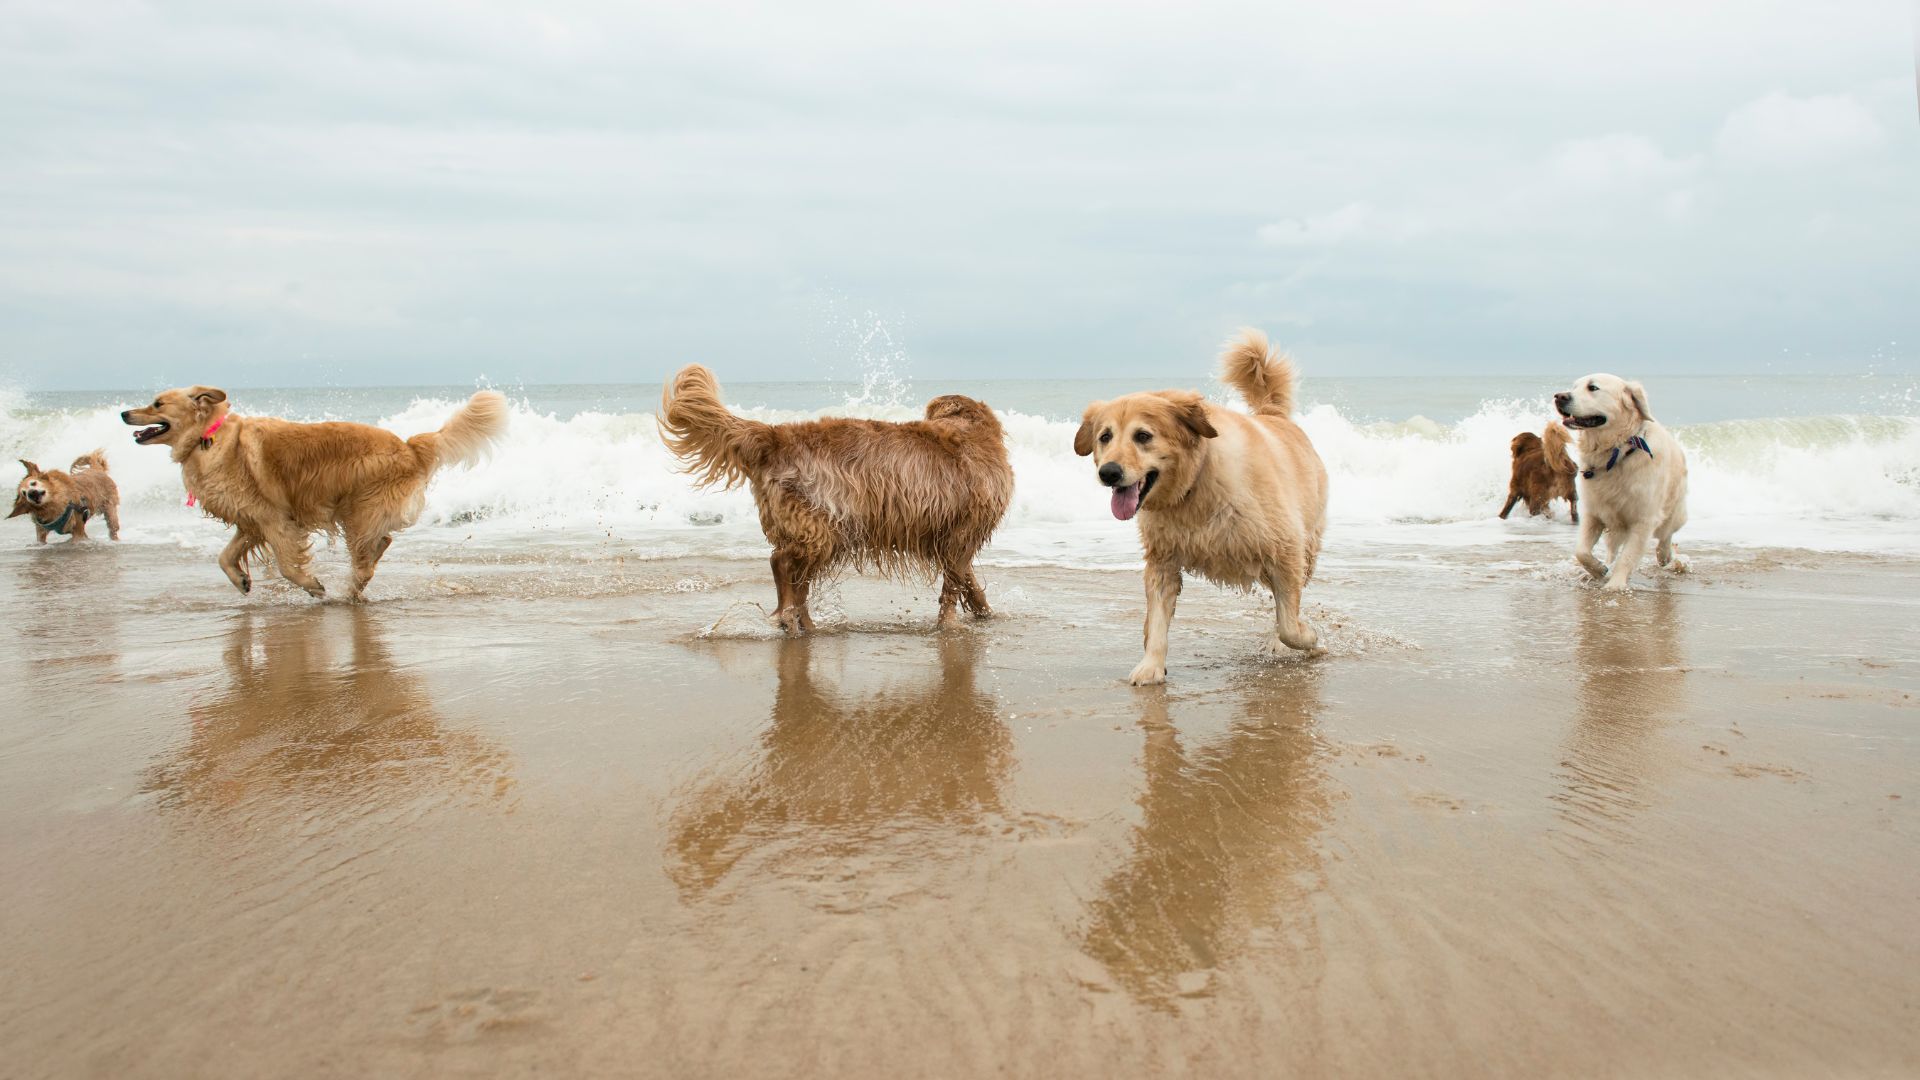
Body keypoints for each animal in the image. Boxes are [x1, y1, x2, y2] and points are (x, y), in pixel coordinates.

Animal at [120, 382, 510, 595]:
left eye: (157, 404)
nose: (124, 413)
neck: (209, 436)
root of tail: (410, 446)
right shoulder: (251, 521)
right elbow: (224, 557)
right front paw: (241, 580)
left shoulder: (275, 519)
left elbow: (287, 566)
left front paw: (313, 586)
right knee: (382, 542)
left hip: (357, 508)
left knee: (367, 558)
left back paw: (348, 592)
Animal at [664, 361, 1021, 630]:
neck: (971, 435)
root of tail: (775, 436)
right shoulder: (963, 533)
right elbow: (953, 585)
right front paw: (949, 625)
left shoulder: (951, 539)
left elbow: (967, 581)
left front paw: (985, 613)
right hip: (825, 523)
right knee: (782, 563)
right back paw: (789, 617)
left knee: (796, 578)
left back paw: (803, 622)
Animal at [1075, 328, 1328, 680]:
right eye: (1105, 436)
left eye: (1143, 436)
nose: (1109, 472)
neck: (1194, 488)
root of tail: (1272, 415)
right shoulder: (1163, 560)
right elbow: (1157, 622)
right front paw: (1151, 666)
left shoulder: (1286, 549)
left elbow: (1289, 623)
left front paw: (1310, 638)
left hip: (1306, 545)